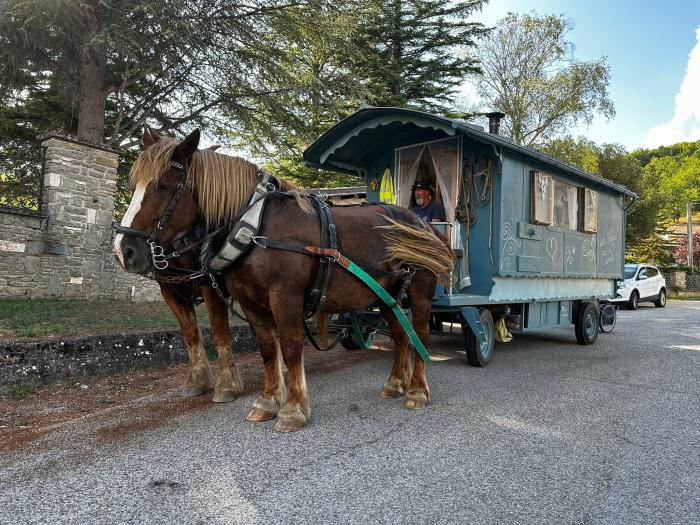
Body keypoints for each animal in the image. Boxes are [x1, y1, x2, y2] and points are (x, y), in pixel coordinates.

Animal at [114, 128, 453, 432]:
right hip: (388, 296)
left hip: (419, 292)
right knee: (401, 336)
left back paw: (416, 391)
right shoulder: (250, 302)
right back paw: (395, 384)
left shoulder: (284, 296)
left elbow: (290, 347)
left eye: (165, 185)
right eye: (135, 183)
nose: (123, 250)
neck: (256, 226)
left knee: (419, 334)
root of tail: (421, 223)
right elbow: (266, 349)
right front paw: (267, 402)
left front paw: (293, 409)